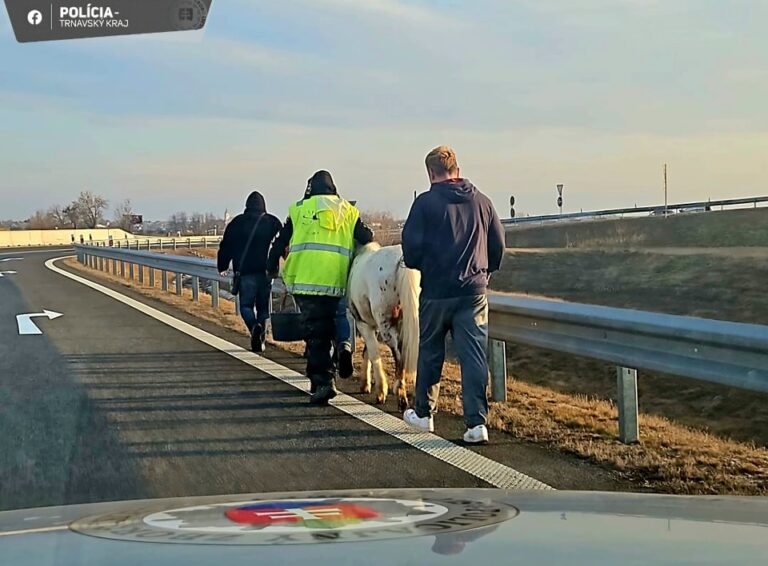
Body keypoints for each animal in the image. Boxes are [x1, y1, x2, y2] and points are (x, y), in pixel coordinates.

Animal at [346, 242, 420, 410]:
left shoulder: (363, 324)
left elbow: (373, 353)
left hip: (387, 325)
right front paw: (365, 384)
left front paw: (380, 391)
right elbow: (367, 352)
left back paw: (400, 394)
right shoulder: (371, 326)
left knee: (399, 353)